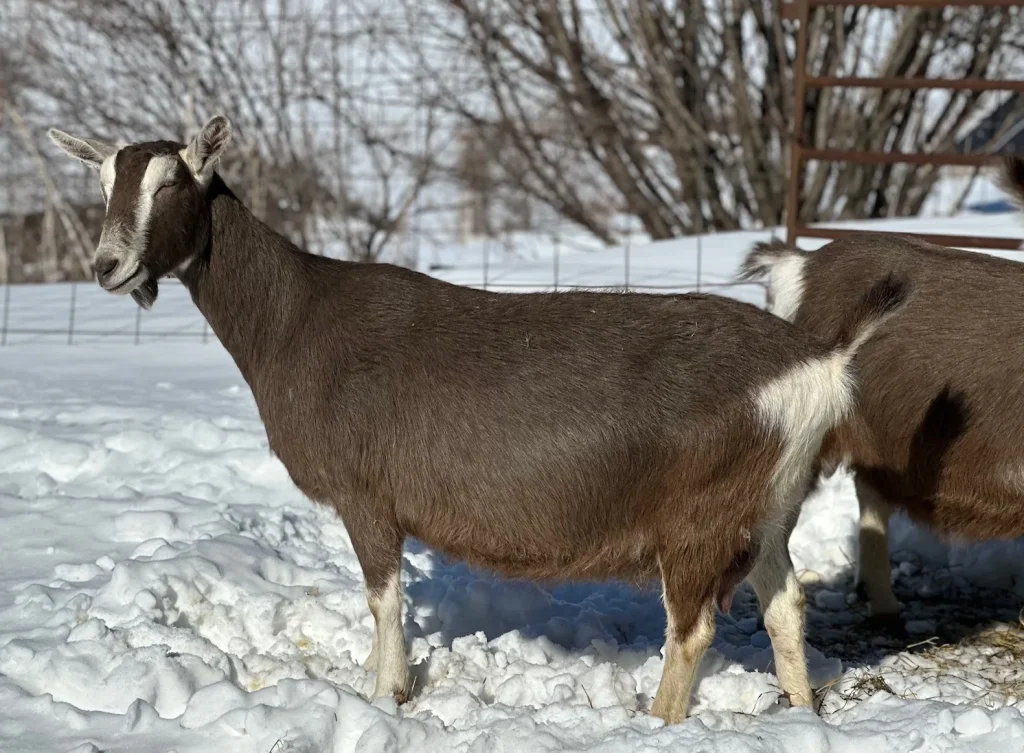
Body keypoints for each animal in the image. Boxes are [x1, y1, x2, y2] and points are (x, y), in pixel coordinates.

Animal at [48, 115, 908, 723]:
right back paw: (798, 708)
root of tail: (821, 362)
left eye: (173, 184)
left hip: (700, 512)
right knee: (785, 604)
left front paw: (387, 692)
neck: (294, 320)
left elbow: (384, 597)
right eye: (102, 184)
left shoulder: (366, 495)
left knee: (690, 626)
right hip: (766, 505)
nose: (108, 266)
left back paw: (659, 720)